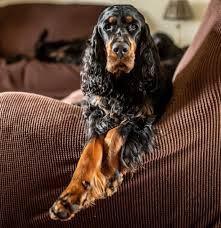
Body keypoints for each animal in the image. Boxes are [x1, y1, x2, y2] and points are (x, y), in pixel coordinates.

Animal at [49, 4, 173, 221]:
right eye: (107, 27)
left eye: (133, 26)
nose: (120, 49)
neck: (119, 84)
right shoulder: (98, 118)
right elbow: (88, 153)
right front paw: (69, 197)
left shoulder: (141, 120)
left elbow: (115, 135)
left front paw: (108, 173)